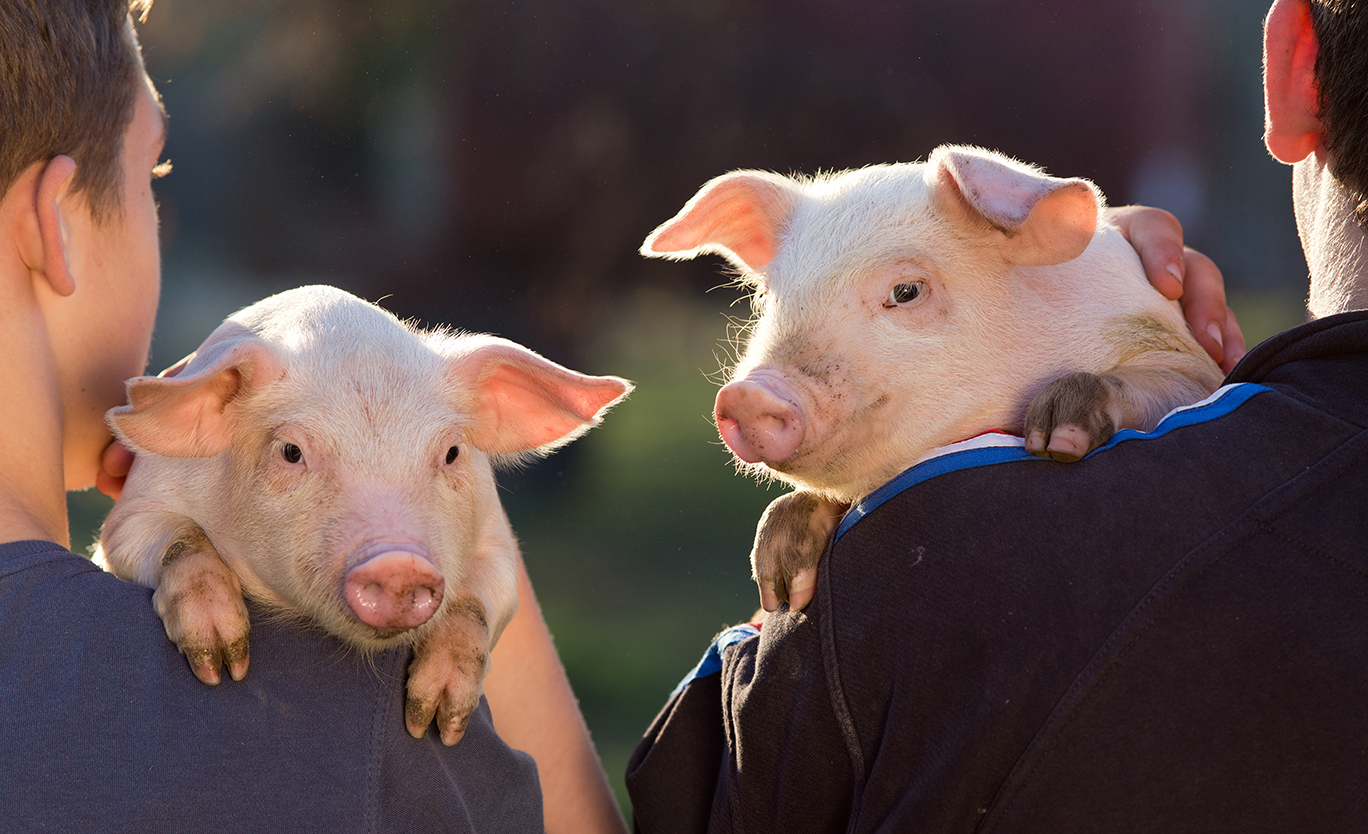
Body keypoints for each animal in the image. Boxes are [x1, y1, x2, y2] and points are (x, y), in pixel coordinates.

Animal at [94, 285, 631, 745]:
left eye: (452, 452)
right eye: (291, 451)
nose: (398, 565)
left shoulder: (497, 543)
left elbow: (476, 603)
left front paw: (435, 724)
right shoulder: (134, 511)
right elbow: (176, 538)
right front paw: (221, 666)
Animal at [641, 145, 1223, 612]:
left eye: (907, 291)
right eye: (768, 297)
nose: (746, 394)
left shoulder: (1187, 360)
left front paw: (1057, 439)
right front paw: (783, 589)